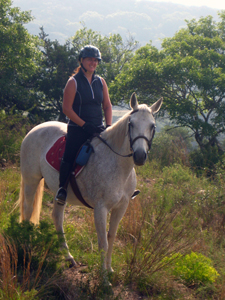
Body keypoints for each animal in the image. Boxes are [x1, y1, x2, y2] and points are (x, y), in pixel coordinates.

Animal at [18, 94, 162, 274]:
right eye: (131, 124)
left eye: (152, 126)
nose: (140, 156)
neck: (118, 165)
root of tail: (34, 129)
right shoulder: (101, 208)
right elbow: (103, 242)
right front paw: (104, 277)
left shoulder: (121, 207)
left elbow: (111, 237)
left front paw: (109, 269)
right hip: (31, 180)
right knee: (28, 210)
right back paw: (26, 244)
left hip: (59, 192)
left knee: (57, 218)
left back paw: (68, 257)